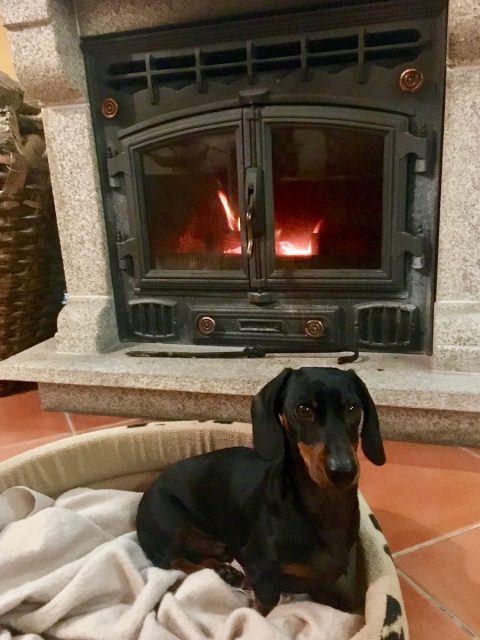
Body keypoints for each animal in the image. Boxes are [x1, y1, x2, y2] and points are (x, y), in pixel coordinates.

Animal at [135, 368, 386, 612]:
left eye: (352, 408)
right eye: (303, 409)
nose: (343, 471)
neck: (323, 507)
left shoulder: (328, 584)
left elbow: (347, 604)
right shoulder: (262, 575)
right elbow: (263, 606)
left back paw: (224, 570)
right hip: (169, 524)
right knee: (174, 561)